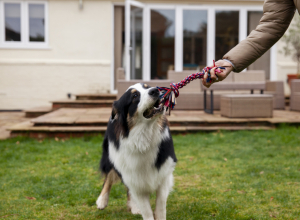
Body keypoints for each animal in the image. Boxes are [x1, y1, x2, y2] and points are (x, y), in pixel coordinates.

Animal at [96, 83, 176, 220]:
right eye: (134, 96)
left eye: (147, 86)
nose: (155, 90)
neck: (143, 137)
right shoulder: (132, 175)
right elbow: (147, 211)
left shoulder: (164, 173)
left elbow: (160, 205)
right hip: (112, 157)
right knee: (109, 176)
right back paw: (102, 200)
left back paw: (133, 206)